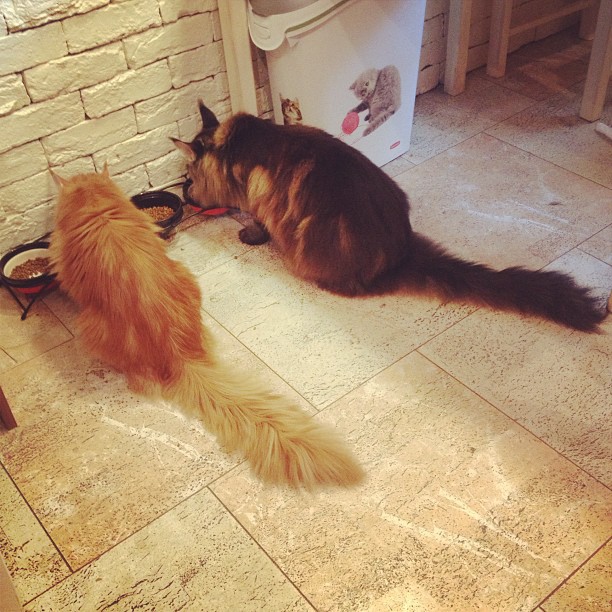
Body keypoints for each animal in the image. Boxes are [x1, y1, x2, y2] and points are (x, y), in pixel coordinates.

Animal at [172, 101, 608, 332]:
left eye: (189, 178)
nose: (184, 193)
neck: (235, 148)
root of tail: (401, 254)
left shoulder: (261, 202)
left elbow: (257, 221)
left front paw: (249, 233)